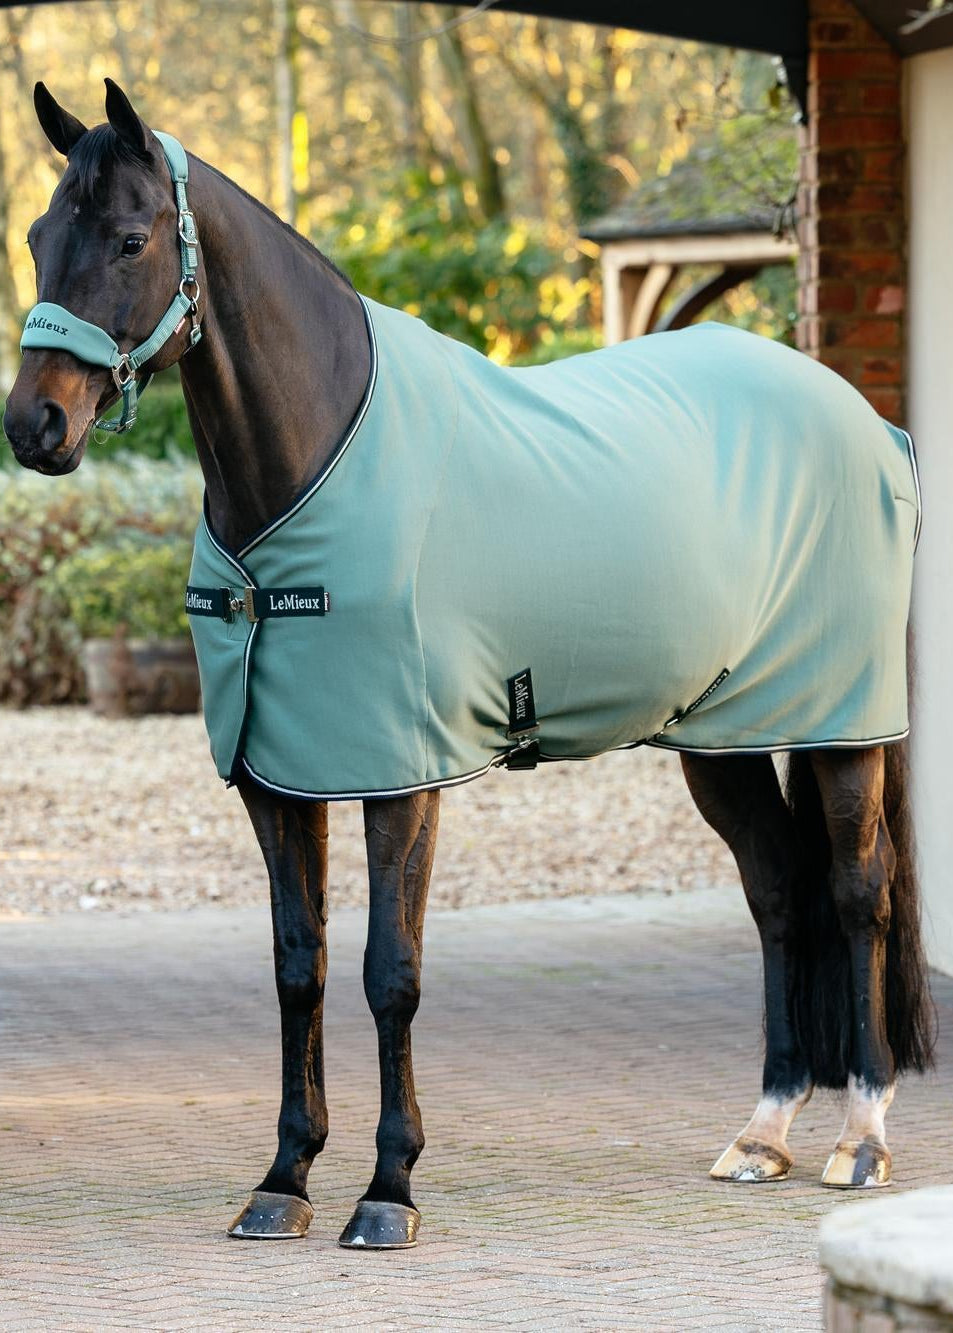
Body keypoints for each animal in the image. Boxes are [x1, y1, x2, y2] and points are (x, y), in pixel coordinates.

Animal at [3, 80, 935, 1249]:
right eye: (39, 239)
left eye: (130, 239)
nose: (33, 426)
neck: (312, 464)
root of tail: (866, 420)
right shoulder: (277, 774)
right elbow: (299, 967)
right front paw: (283, 1178)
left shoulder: (400, 774)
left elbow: (387, 972)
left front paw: (387, 1188)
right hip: (720, 737)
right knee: (776, 892)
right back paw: (762, 1134)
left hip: (842, 726)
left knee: (858, 895)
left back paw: (860, 1137)